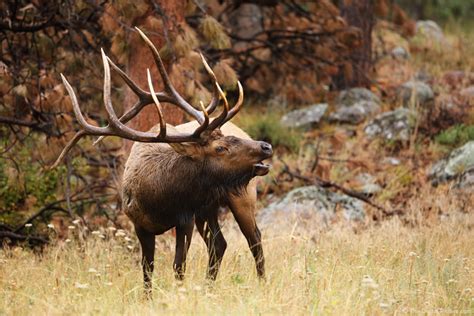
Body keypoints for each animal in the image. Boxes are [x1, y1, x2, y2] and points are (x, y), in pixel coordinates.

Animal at [53, 28, 272, 292]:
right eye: (220, 148)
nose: (266, 146)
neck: (159, 197)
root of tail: (243, 129)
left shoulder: (185, 217)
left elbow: (179, 266)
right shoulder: (140, 224)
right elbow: (147, 270)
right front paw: (150, 296)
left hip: (242, 196)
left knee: (254, 239)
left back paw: (262, 284)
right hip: (207, 208)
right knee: (219, 244)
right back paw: (209, 287)